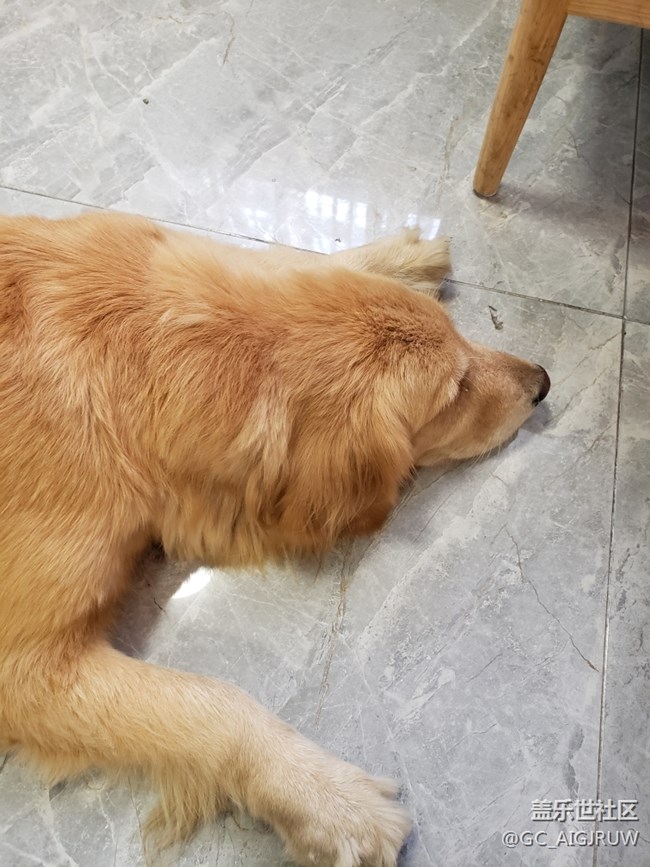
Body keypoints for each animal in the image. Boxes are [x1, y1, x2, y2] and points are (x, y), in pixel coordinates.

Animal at [0, 212, 549, 866]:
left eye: (460, 337)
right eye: (456, 391)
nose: (543, 381)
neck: (129, 351)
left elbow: (283, 262)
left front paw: (395, 259)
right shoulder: (25, 665)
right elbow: (214, 704)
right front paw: (331, 802)